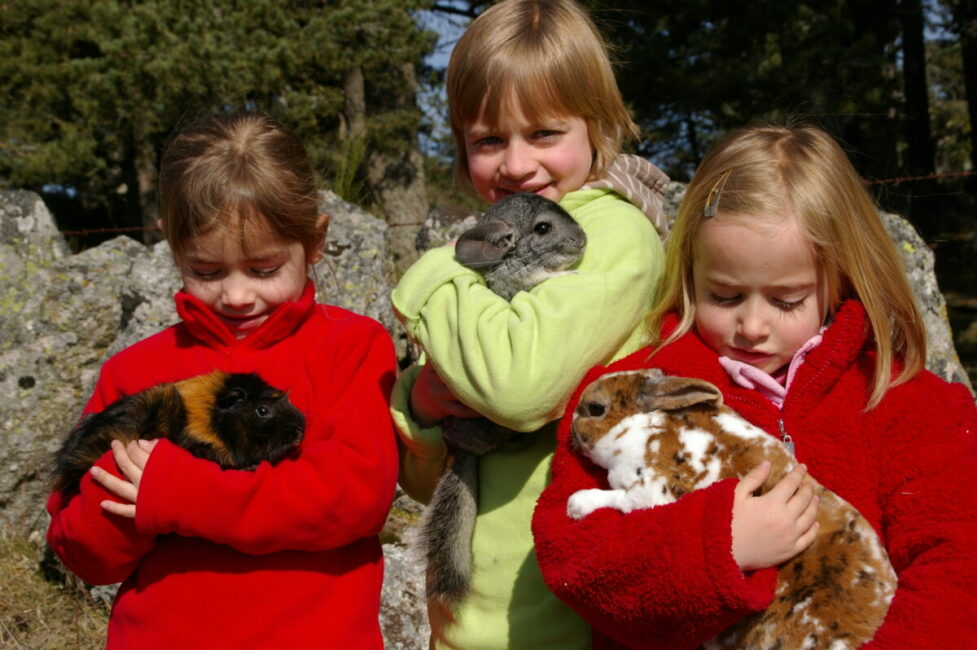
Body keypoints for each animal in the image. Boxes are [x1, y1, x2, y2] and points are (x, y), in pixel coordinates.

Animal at [416, 190, 584, 604]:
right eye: (543, 228)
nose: (584, 240)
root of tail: (462, 448)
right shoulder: (520, 281)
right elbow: (542, 277)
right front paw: (570, 274)